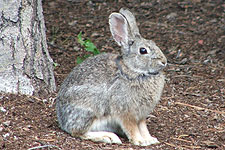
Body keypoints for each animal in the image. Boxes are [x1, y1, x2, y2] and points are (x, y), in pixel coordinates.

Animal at [55, 7, 166, 146]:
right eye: (143, 50)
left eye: (154, 43)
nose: (164, 61)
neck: (132, 71)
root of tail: (62, 120)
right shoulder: (125, 111)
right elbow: (132, 128)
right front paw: (140, 141)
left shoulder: (141, 115)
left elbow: (143, 127)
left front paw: (150, 139)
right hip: (88, 110)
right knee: (78, 132)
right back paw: (108, 137)